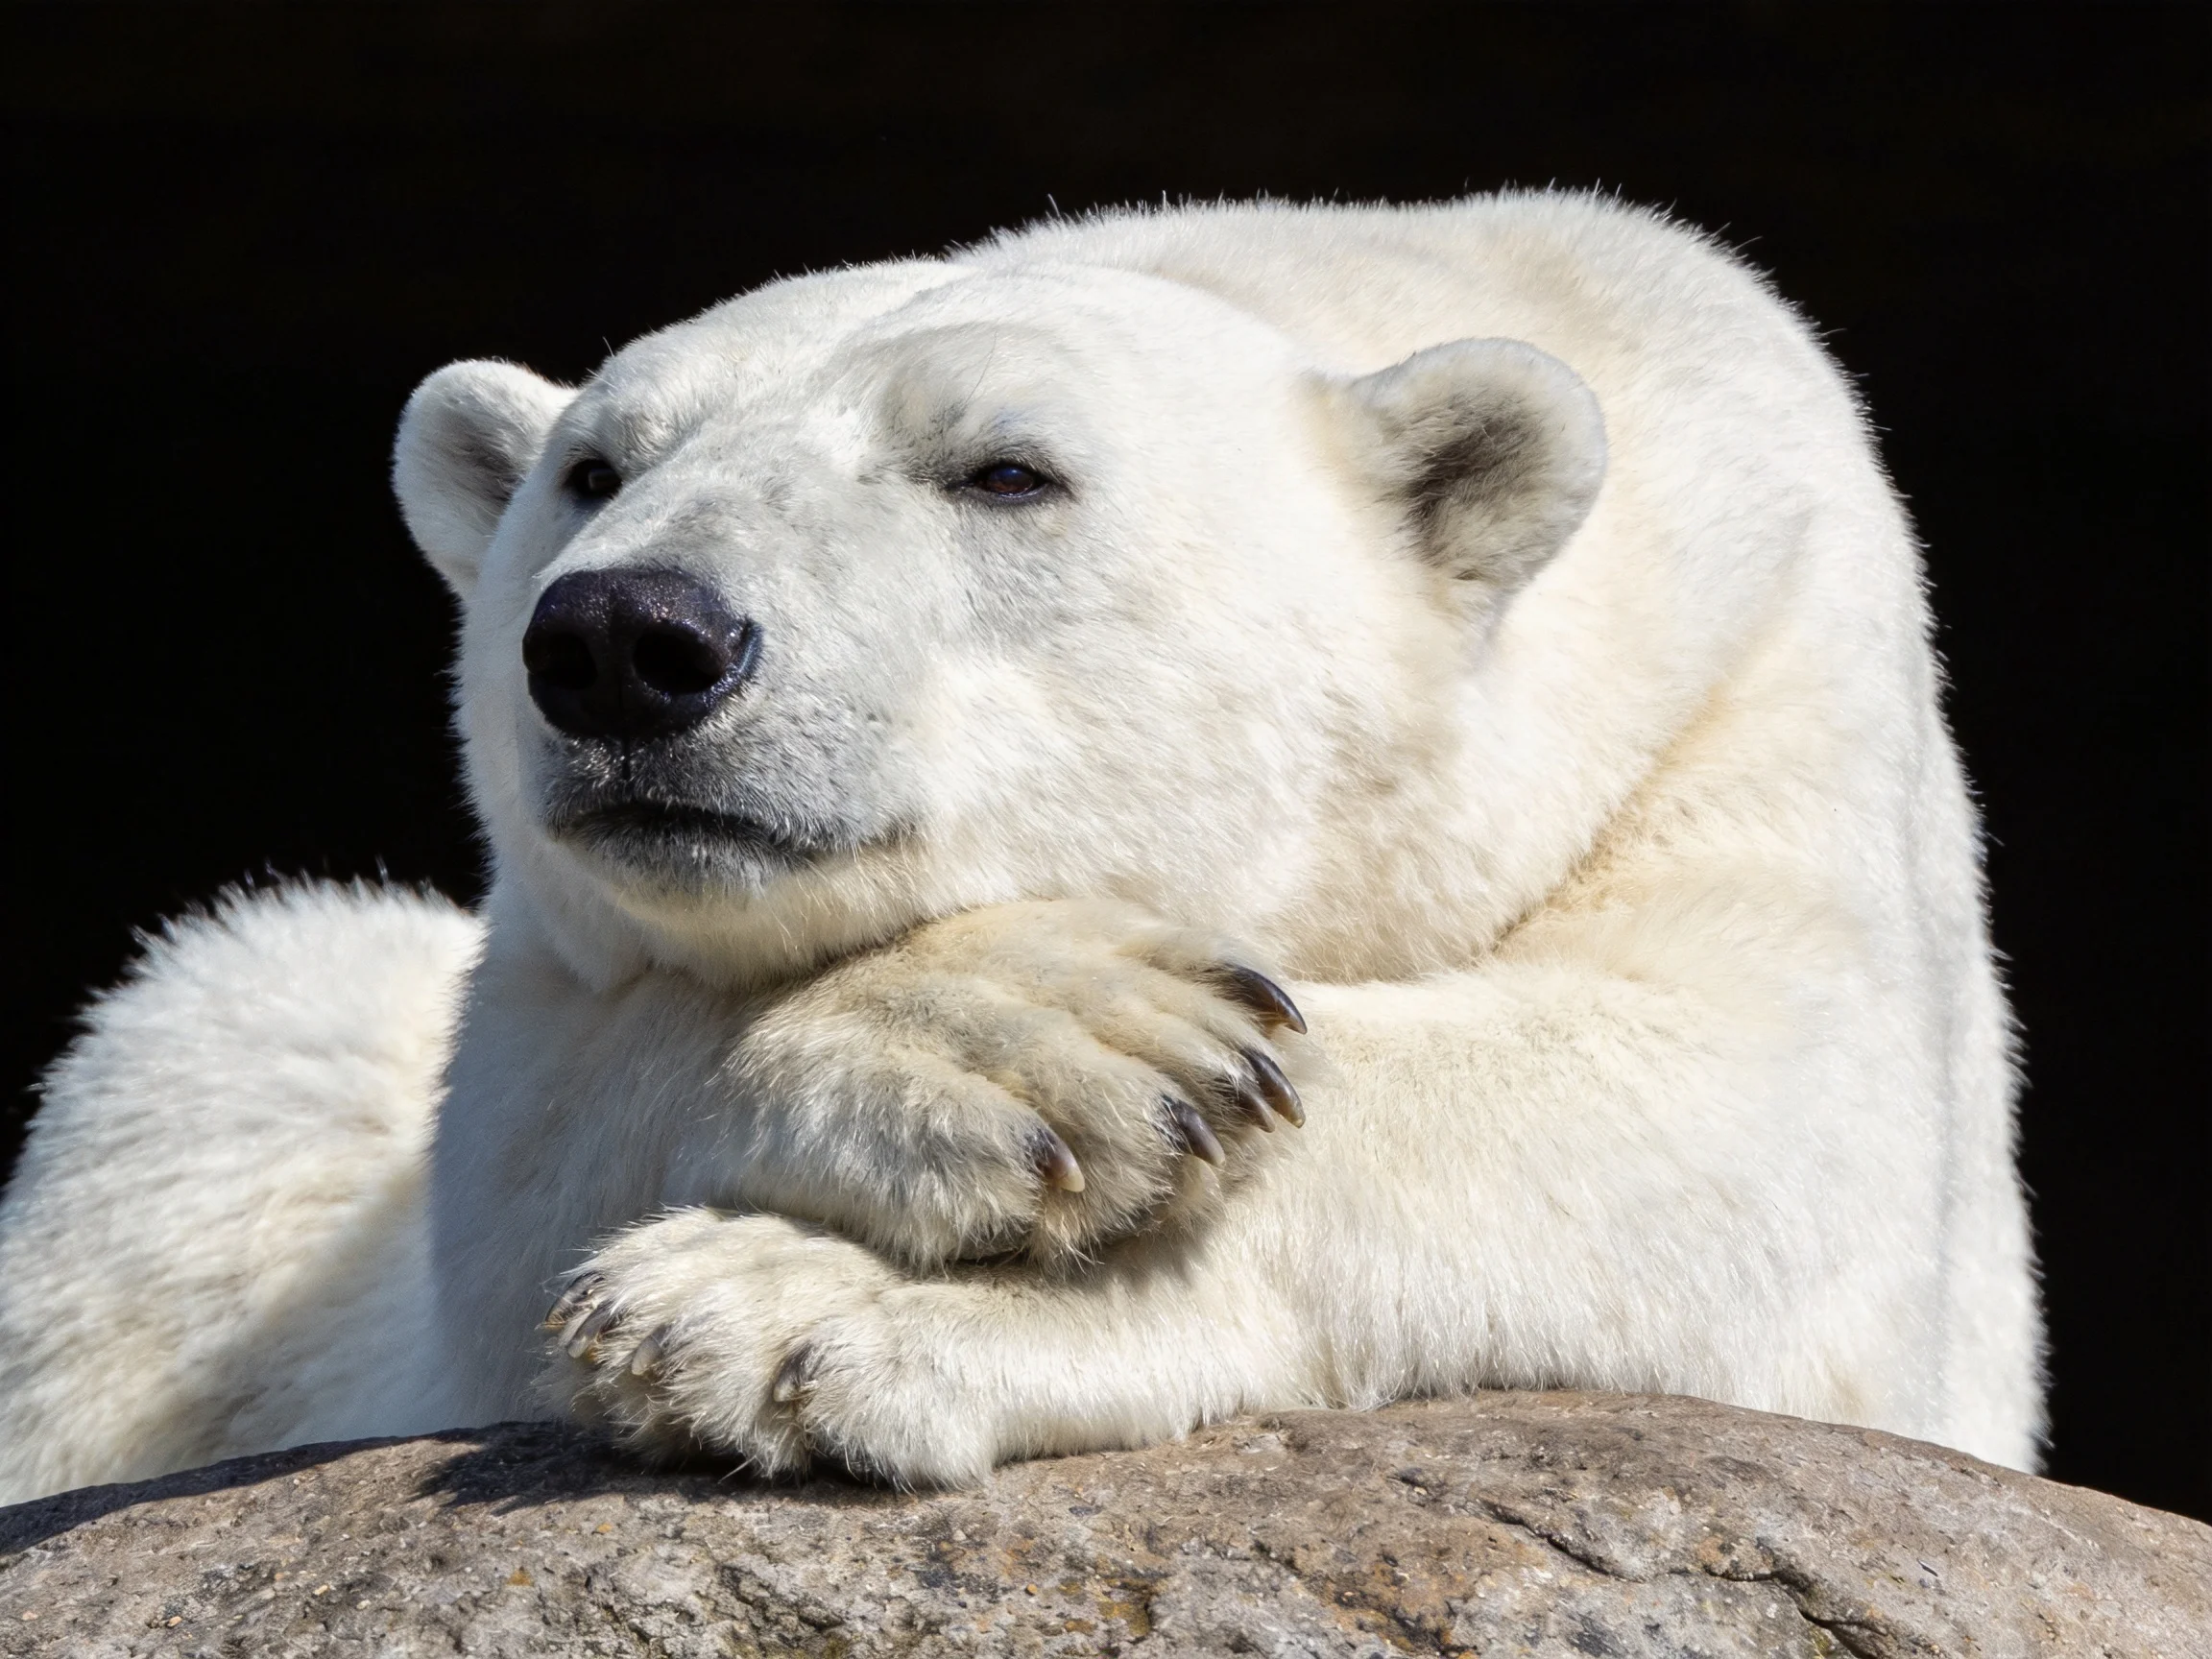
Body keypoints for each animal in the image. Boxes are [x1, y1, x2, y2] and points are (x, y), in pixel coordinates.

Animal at [0, 193, 2044, 1502]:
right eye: (593, 468)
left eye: (1002, 469)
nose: (624, 639)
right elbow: (523, 1154)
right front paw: (1030, 1039)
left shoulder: (1752, 671)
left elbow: (1727, 1115)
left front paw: (777, 1312)